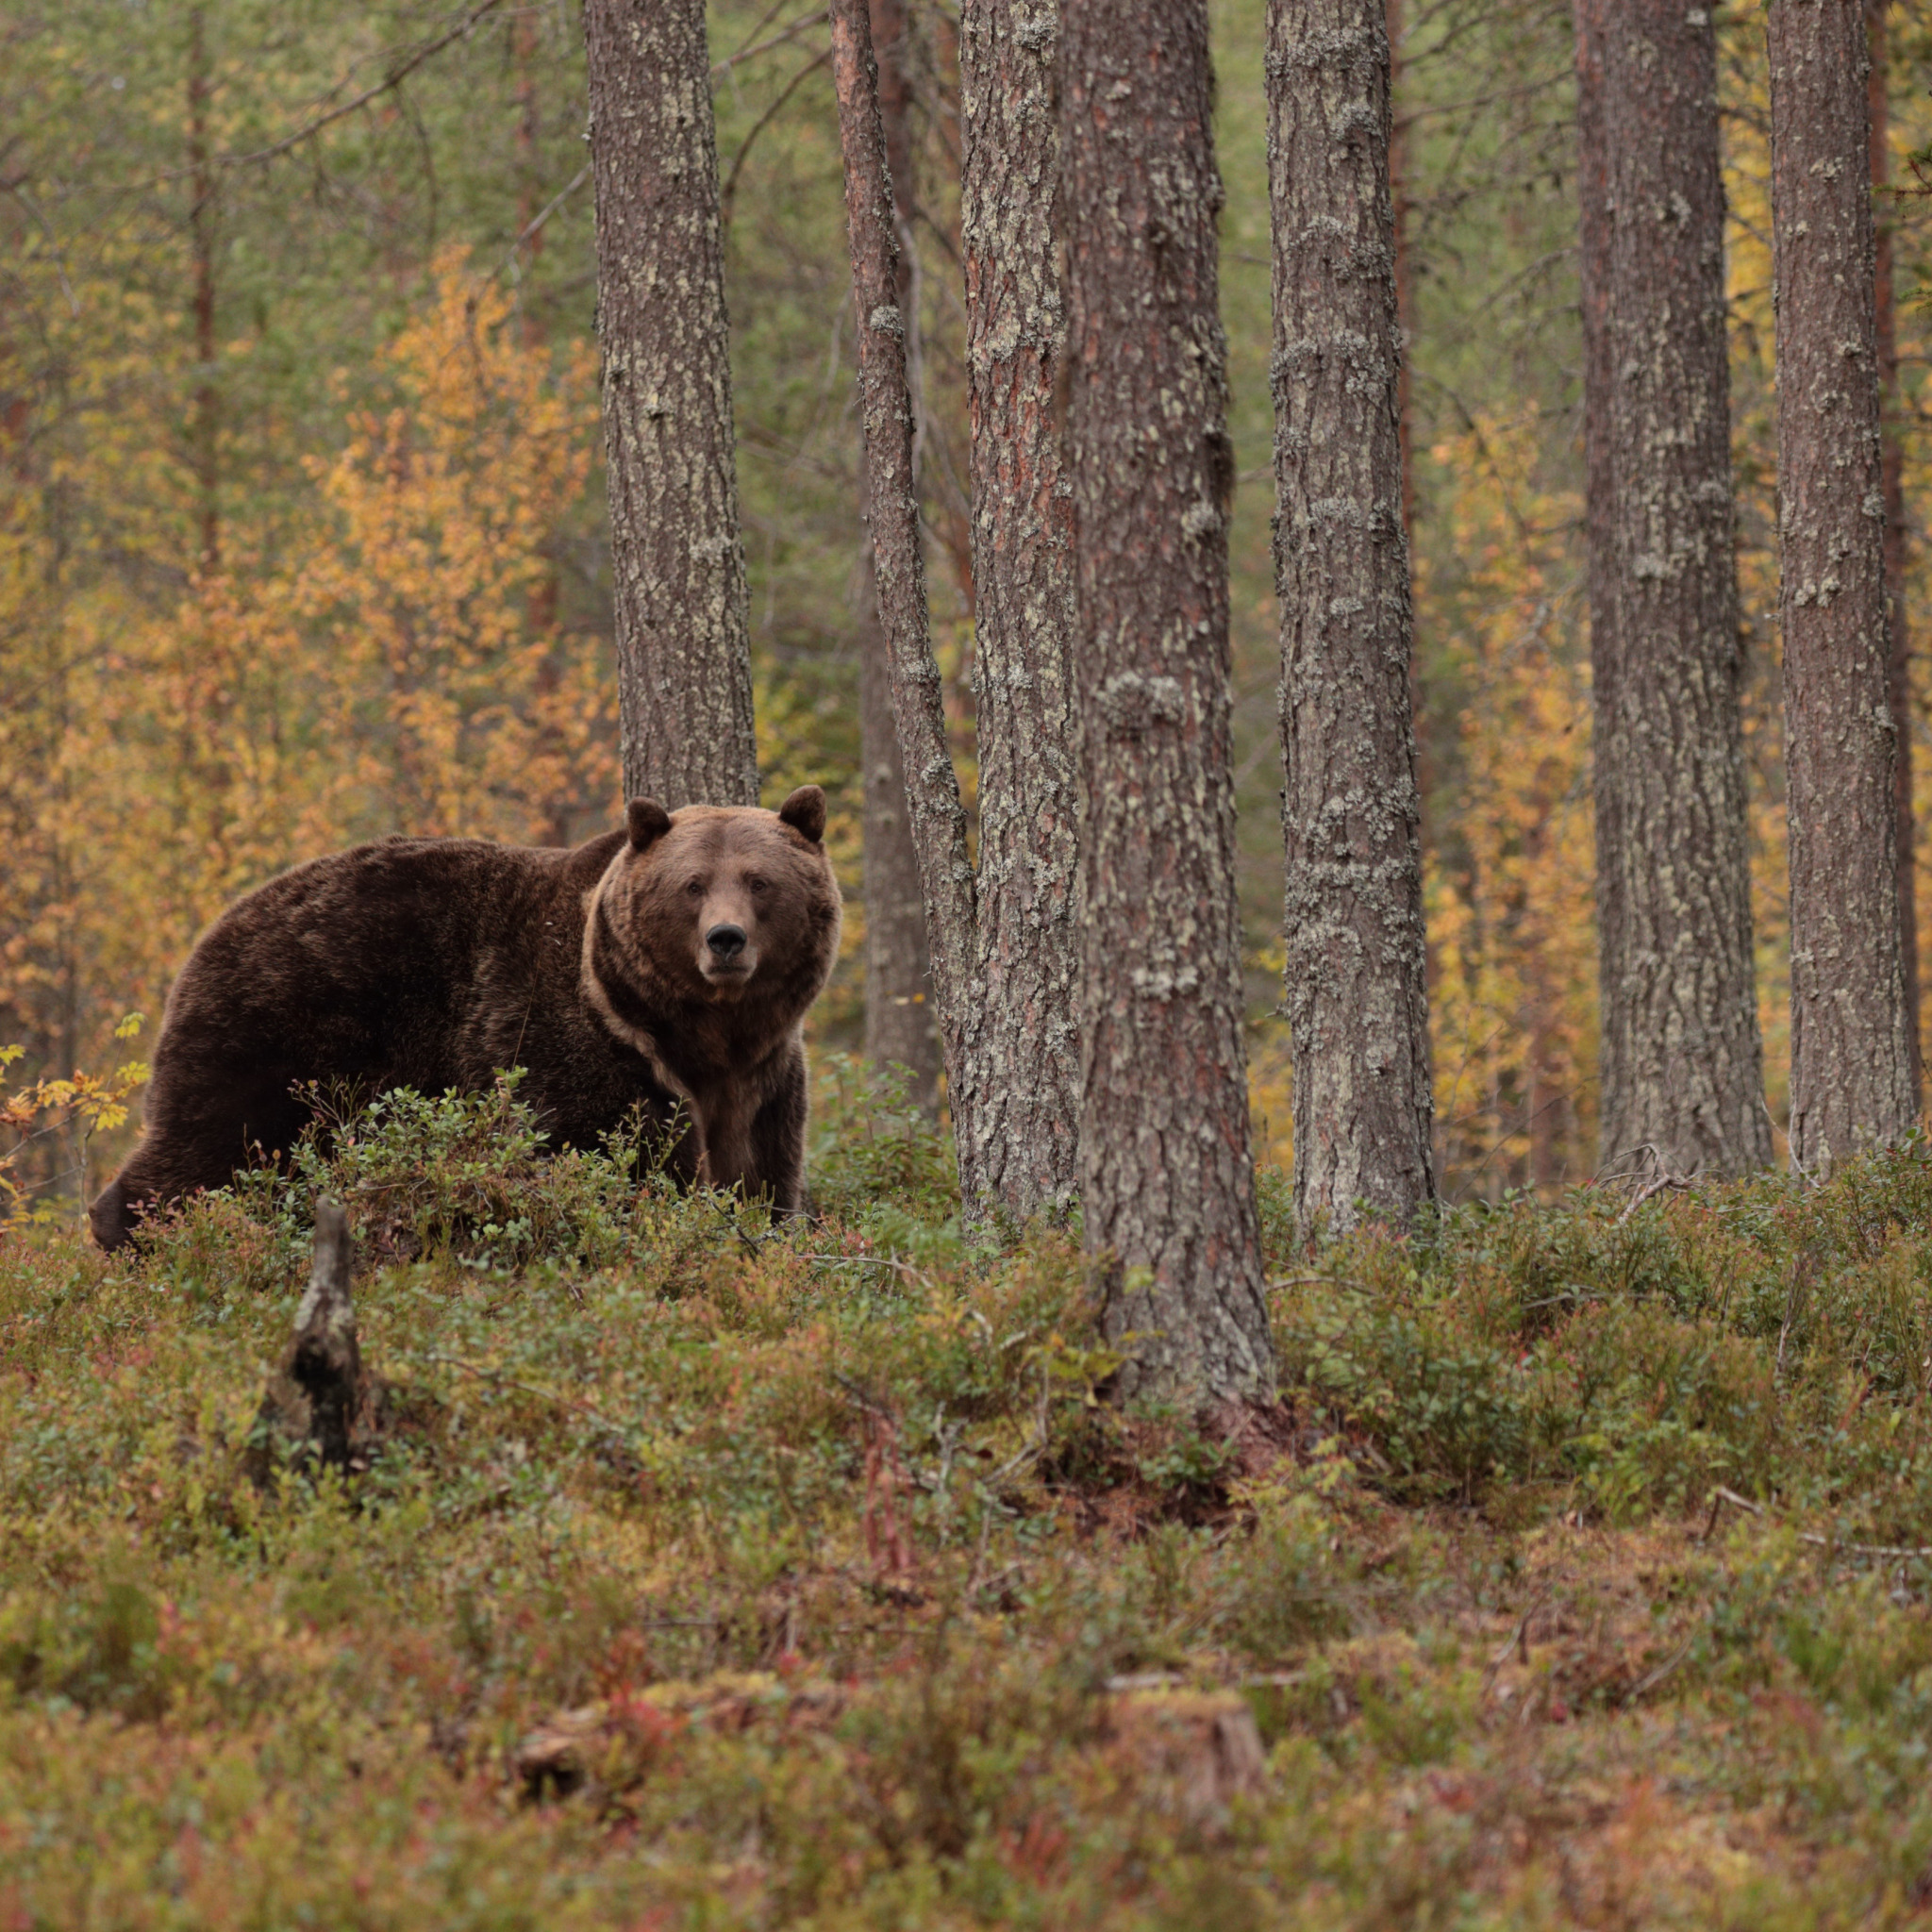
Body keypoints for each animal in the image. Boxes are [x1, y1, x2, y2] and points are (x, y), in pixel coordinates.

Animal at [91, 788, 841, 1252]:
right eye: (691, 885)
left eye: (759, 881)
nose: (725, 940)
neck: (694, 1034)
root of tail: (224, 921)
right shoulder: (570, 1044)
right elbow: (604, 1158)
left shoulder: (761, 1078)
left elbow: (762, 1175)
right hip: (284, 1029)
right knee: (218, 1146)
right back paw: (137, 1233)